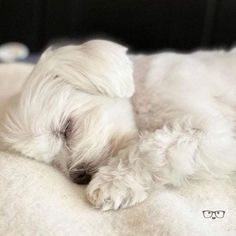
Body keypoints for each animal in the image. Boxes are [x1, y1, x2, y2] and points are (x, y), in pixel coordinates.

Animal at [0, 39, 235, 211]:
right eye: (52, 162)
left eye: (66, 128)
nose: (78, 176)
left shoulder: (215, 133)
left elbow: (151, 150)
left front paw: (112, 183)